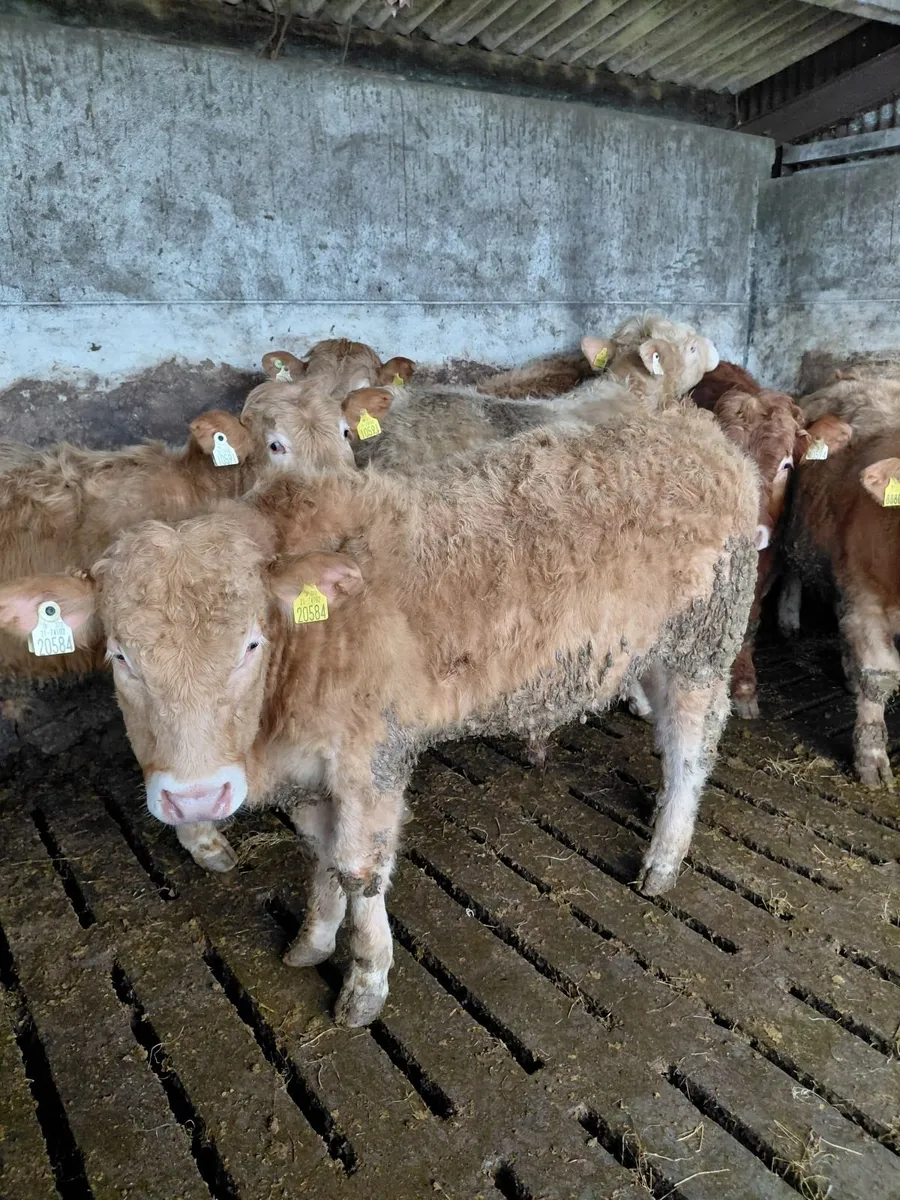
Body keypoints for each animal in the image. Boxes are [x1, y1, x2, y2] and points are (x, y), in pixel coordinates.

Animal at [0, 406, 759, 1026]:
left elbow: (359, 870)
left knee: (691, 748)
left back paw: (664, 854)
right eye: (120, 656)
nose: (194, 799)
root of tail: (698, 430)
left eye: (251, 642)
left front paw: (365, 980)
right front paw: (312, 940)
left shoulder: (373, 761)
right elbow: (324, 857)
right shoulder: (309, 772)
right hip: (655, 650)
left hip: (702, 644)